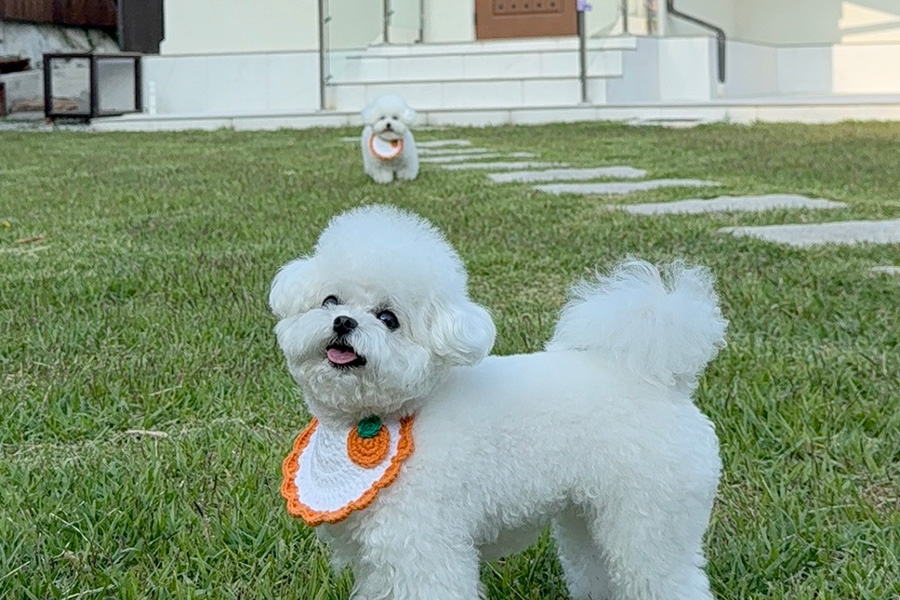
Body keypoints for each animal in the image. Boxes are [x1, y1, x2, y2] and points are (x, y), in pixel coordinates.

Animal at [270, 205, 727, 600]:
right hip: (590, 517)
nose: (343, 322)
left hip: (652, 519)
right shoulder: (379, 561)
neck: (402, 410)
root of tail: (663, 382)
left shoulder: (424, 546)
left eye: (388, 319)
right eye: (330, 300)